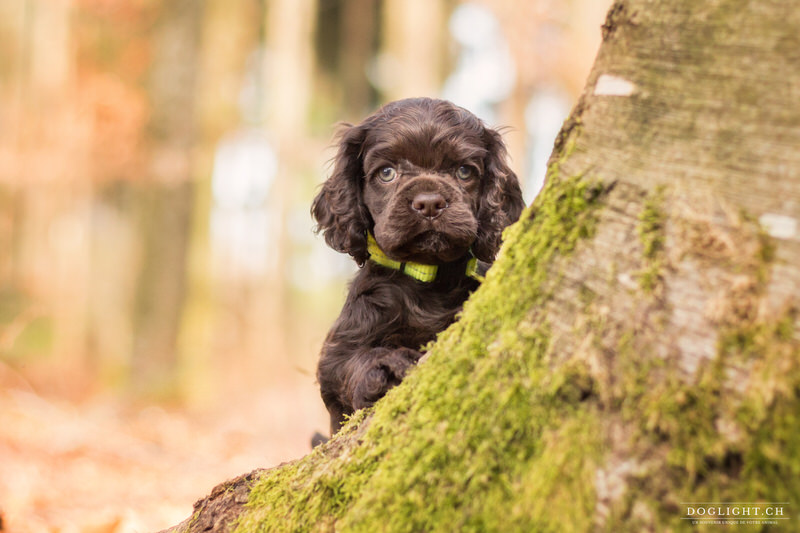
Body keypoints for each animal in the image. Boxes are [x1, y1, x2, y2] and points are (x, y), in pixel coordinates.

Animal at [312, 97, 524, 434]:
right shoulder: (337, 353)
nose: (429, 203)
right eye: (387, 173)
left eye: (464, 171)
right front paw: (385, 365)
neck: (427, 277)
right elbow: (348, 365)